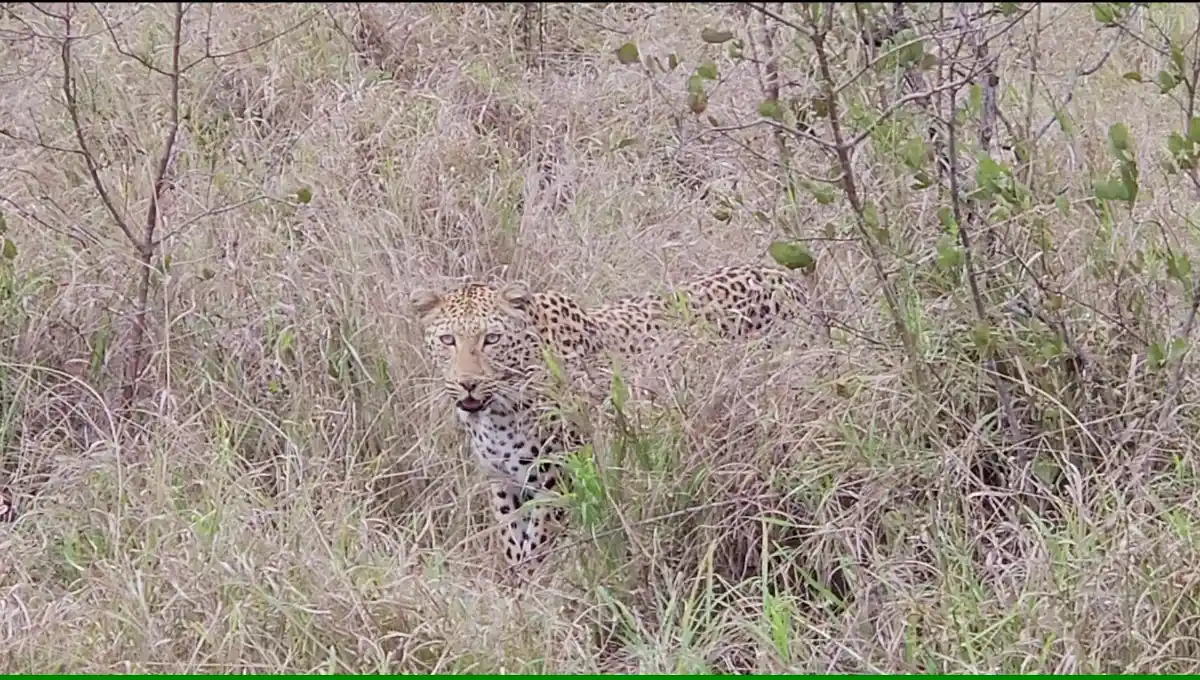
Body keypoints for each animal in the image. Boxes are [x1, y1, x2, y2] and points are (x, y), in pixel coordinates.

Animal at [408, 263, 817, 577]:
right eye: (447, 340)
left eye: (492, 339)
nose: (468, 383)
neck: (498, 412)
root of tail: (789, 279)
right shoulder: (503, 483)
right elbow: (513, 544)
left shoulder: (558, 479)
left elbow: (537, 548)